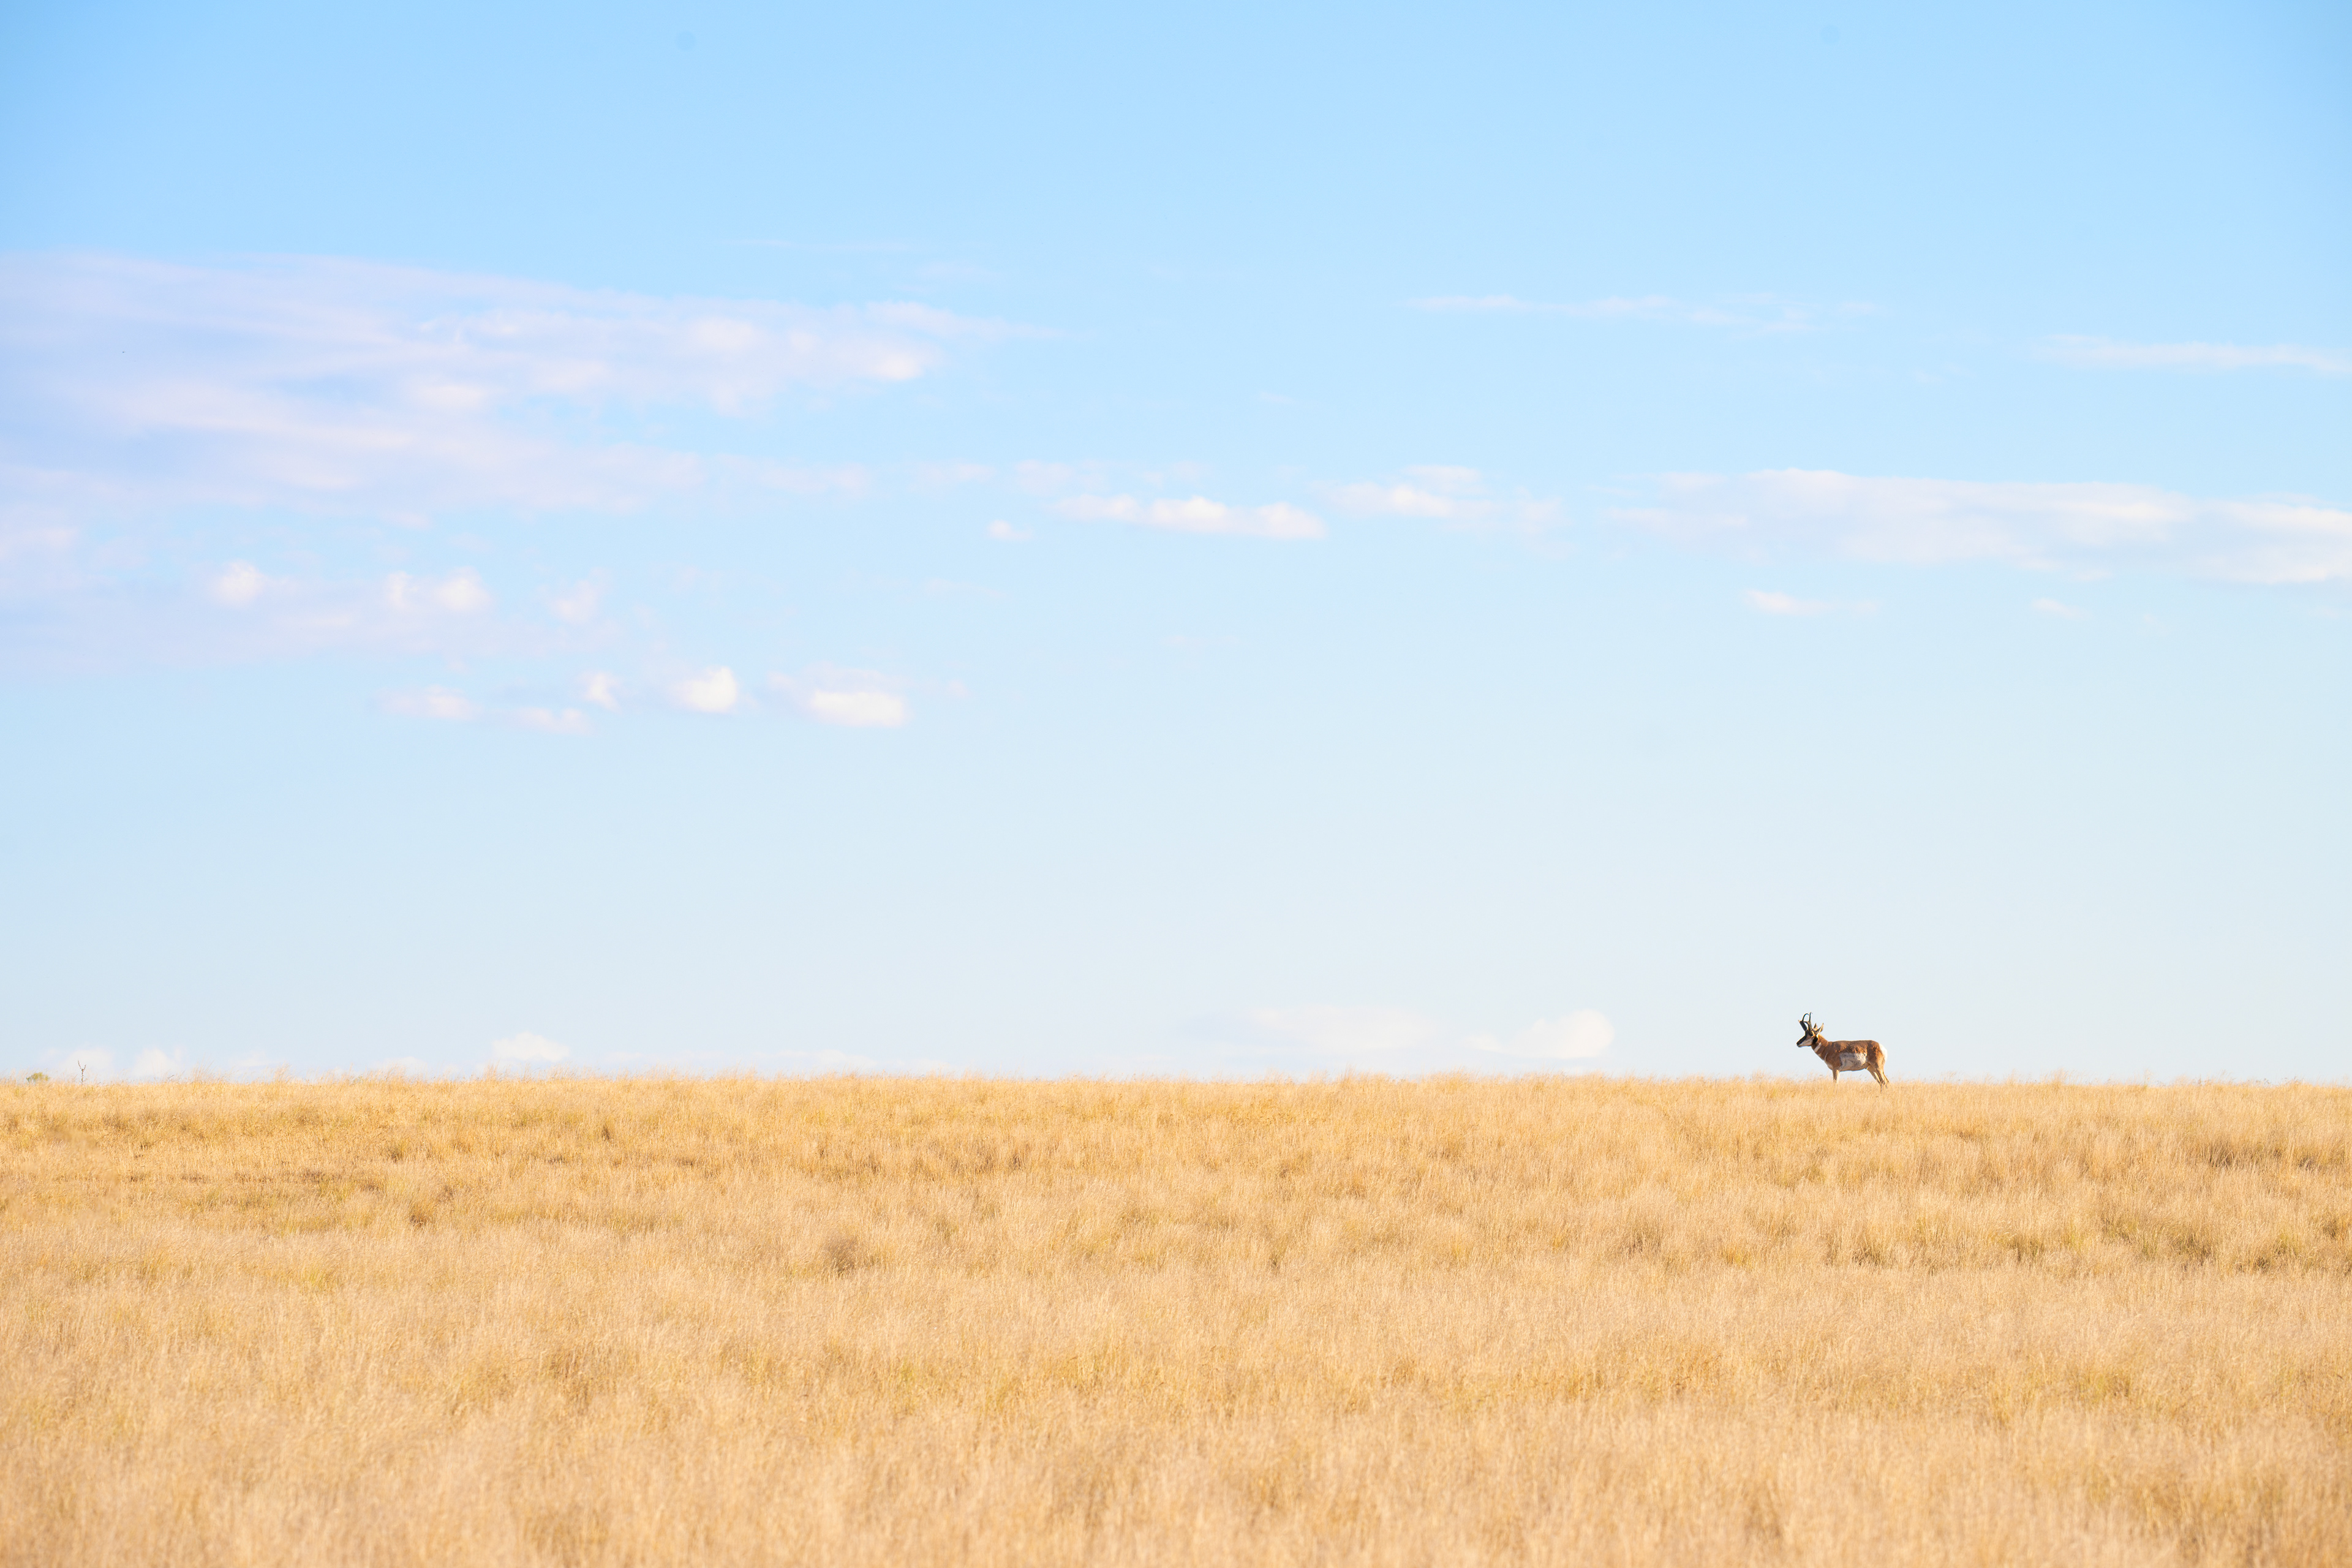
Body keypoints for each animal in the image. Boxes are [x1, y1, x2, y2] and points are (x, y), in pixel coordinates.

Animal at [1797, 1013, 1888, 1085]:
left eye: (1811, 1034)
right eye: (1805, 1033)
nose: (1798, 1043)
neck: (1828, 1047)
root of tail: (1881, 1047)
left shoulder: (1836, 1069)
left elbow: (1835, 1084)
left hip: (1878, 1068)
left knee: (1884, 1082)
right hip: (1871, 1069)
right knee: (1882, 1082)